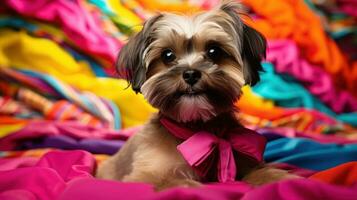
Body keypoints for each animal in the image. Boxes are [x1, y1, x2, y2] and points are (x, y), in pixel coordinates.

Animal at [96, 0, 298, 191]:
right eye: (167, 55)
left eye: (214, 51)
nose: (191, 74)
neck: (197, 130)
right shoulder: (141, 177)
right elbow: (169, 181)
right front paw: (188, 186)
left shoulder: (247, 163)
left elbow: (263, 172)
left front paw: (281, 179)